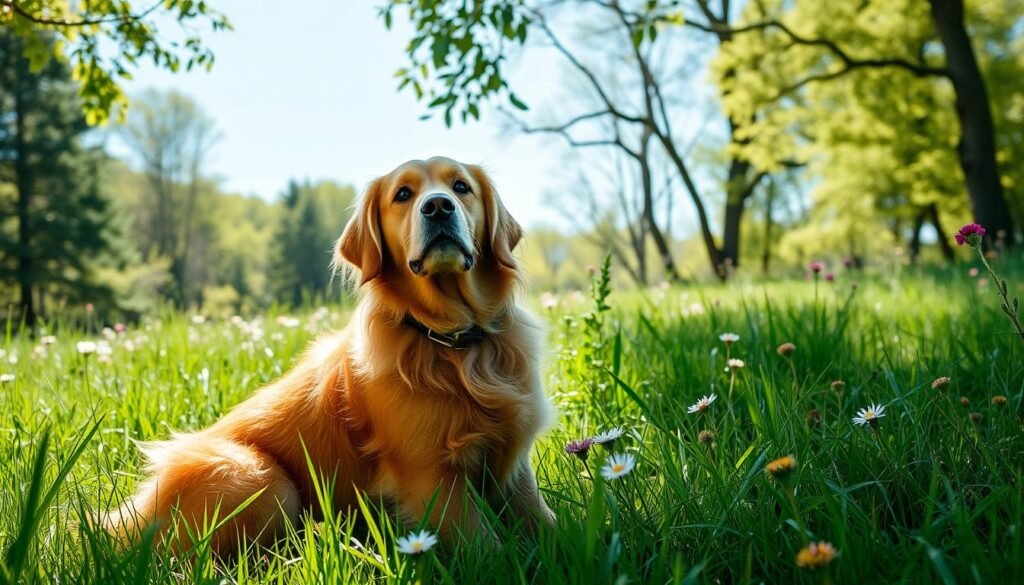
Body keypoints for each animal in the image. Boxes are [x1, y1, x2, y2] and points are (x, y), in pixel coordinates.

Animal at [99, 156, 557, 553]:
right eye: (403, 194)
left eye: (461, 187)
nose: (439, 206)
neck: (454, 341)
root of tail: (123, 520)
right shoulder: (429, 475)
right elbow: (486, 546)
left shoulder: (514, 461)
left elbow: (541, 517)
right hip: (262, 480)